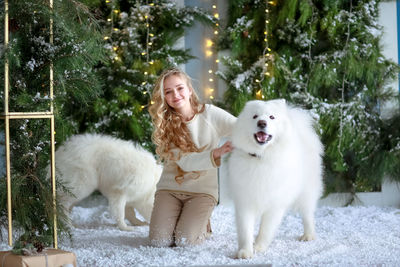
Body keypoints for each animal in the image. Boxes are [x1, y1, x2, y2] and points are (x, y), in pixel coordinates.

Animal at [227, 100, 324, 260]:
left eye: (272, 117)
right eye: (255, 116)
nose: (262, 123)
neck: (262, 158)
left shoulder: (275, 205)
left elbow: (266, 229)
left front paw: (259, 247)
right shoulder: (245, 202)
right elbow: (245, 229)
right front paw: (245, 251)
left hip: (306, 192)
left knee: (307, 214)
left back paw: (308, 235)